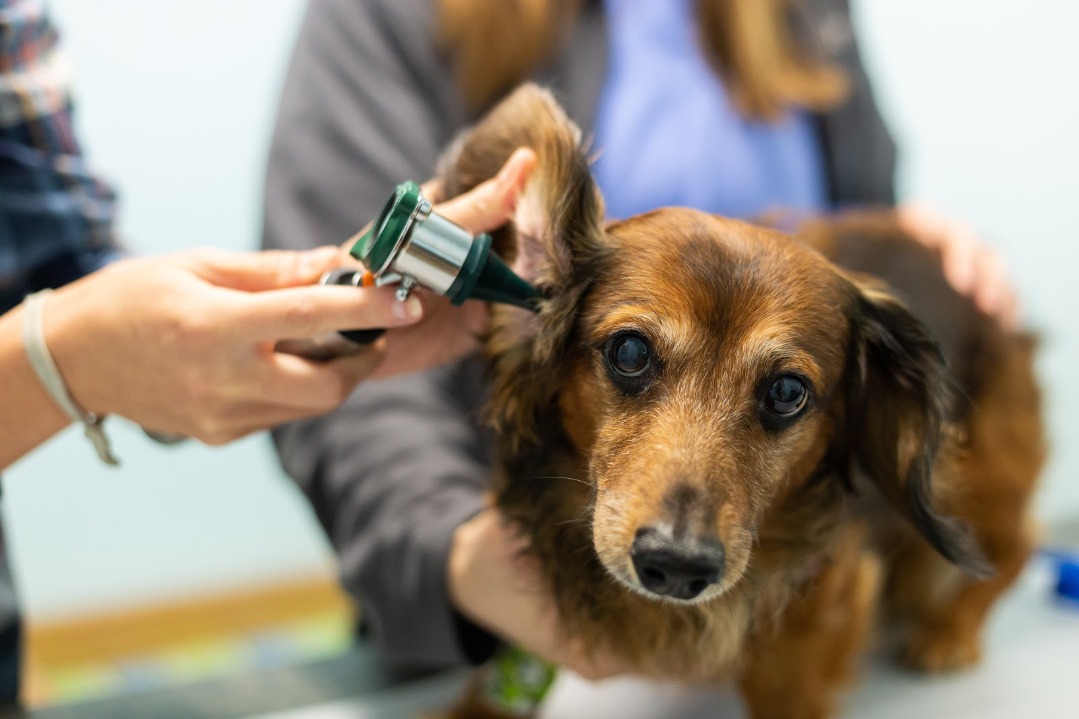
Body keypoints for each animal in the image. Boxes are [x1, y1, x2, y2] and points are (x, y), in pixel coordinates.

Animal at [433, 84, 1045, 719]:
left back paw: (950, 631)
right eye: (629, 351)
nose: (677, 566)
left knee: (1019, 544)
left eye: (787, 392)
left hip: (978, 470)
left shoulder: (817, 613)